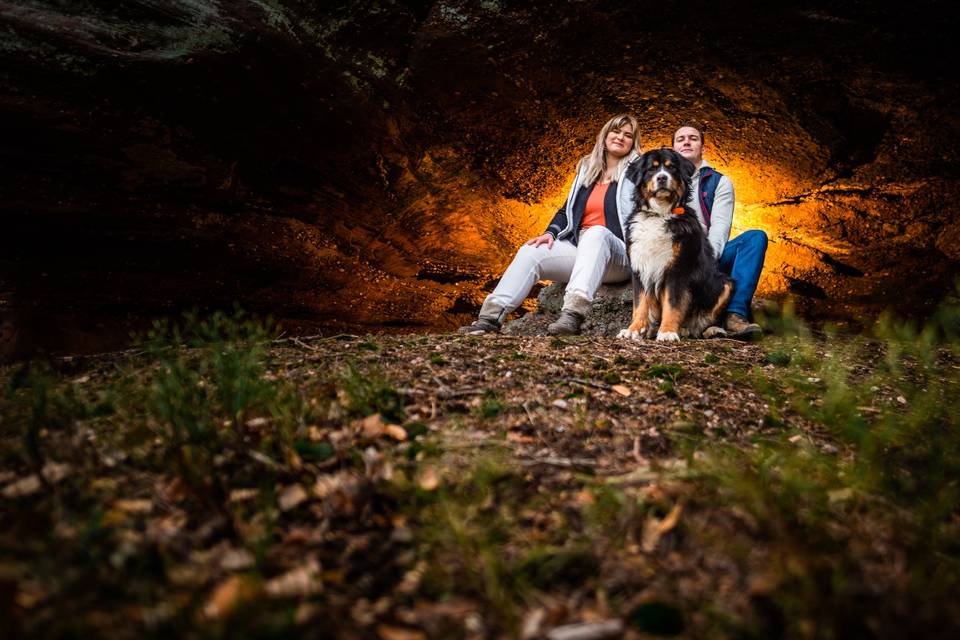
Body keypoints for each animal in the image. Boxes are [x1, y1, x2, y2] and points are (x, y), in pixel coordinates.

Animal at [620, 148, 732, 342]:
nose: (662, 178)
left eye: (671, 167)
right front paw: (633, 329)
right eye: (652, 169)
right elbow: (640, 303)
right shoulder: (639, 267)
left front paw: (667, 332)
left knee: (705, 320)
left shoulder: (677, 268)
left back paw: (708, 330)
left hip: (724, 284)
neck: (659, 214)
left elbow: (672, 303)